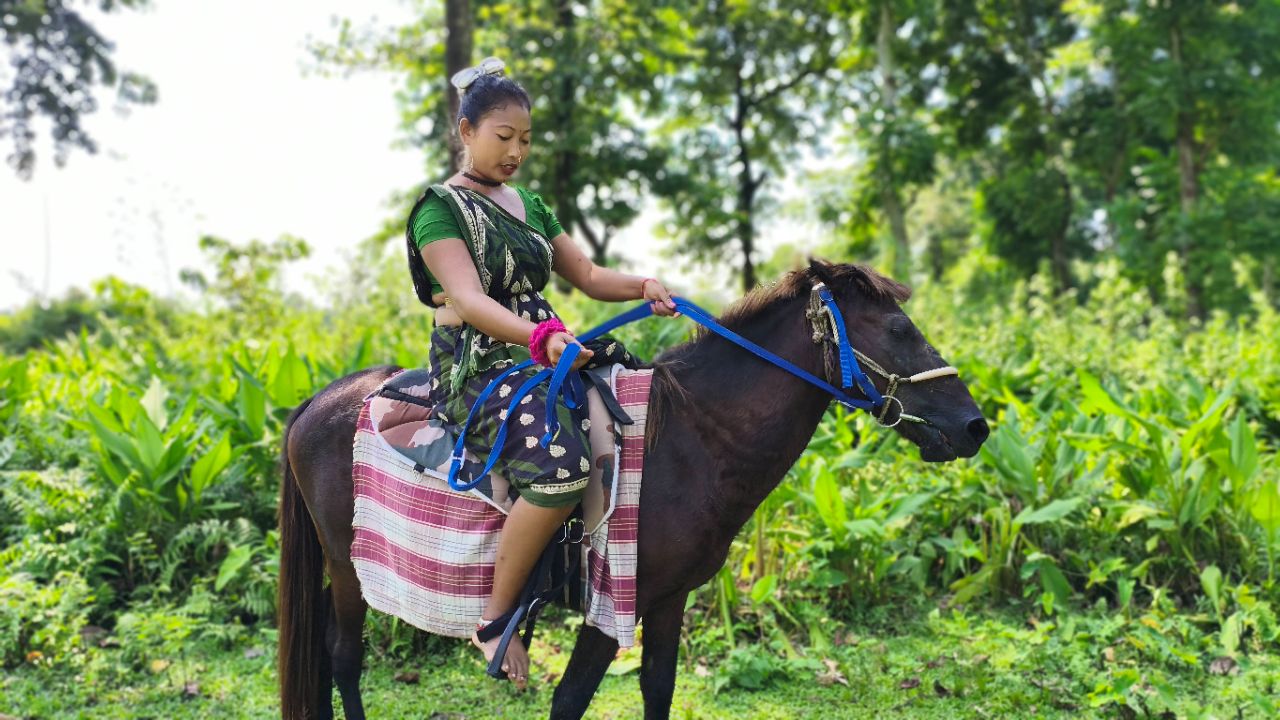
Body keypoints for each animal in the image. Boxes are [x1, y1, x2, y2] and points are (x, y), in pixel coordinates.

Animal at [277, 260, 989, 720]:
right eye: (899, 330)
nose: (975, 427)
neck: (695, 438)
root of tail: (321, 399)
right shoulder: (610, 602)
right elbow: (568, 702)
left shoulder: (670, 599)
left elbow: (657, 693)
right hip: (350, 563)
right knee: (343, 658)